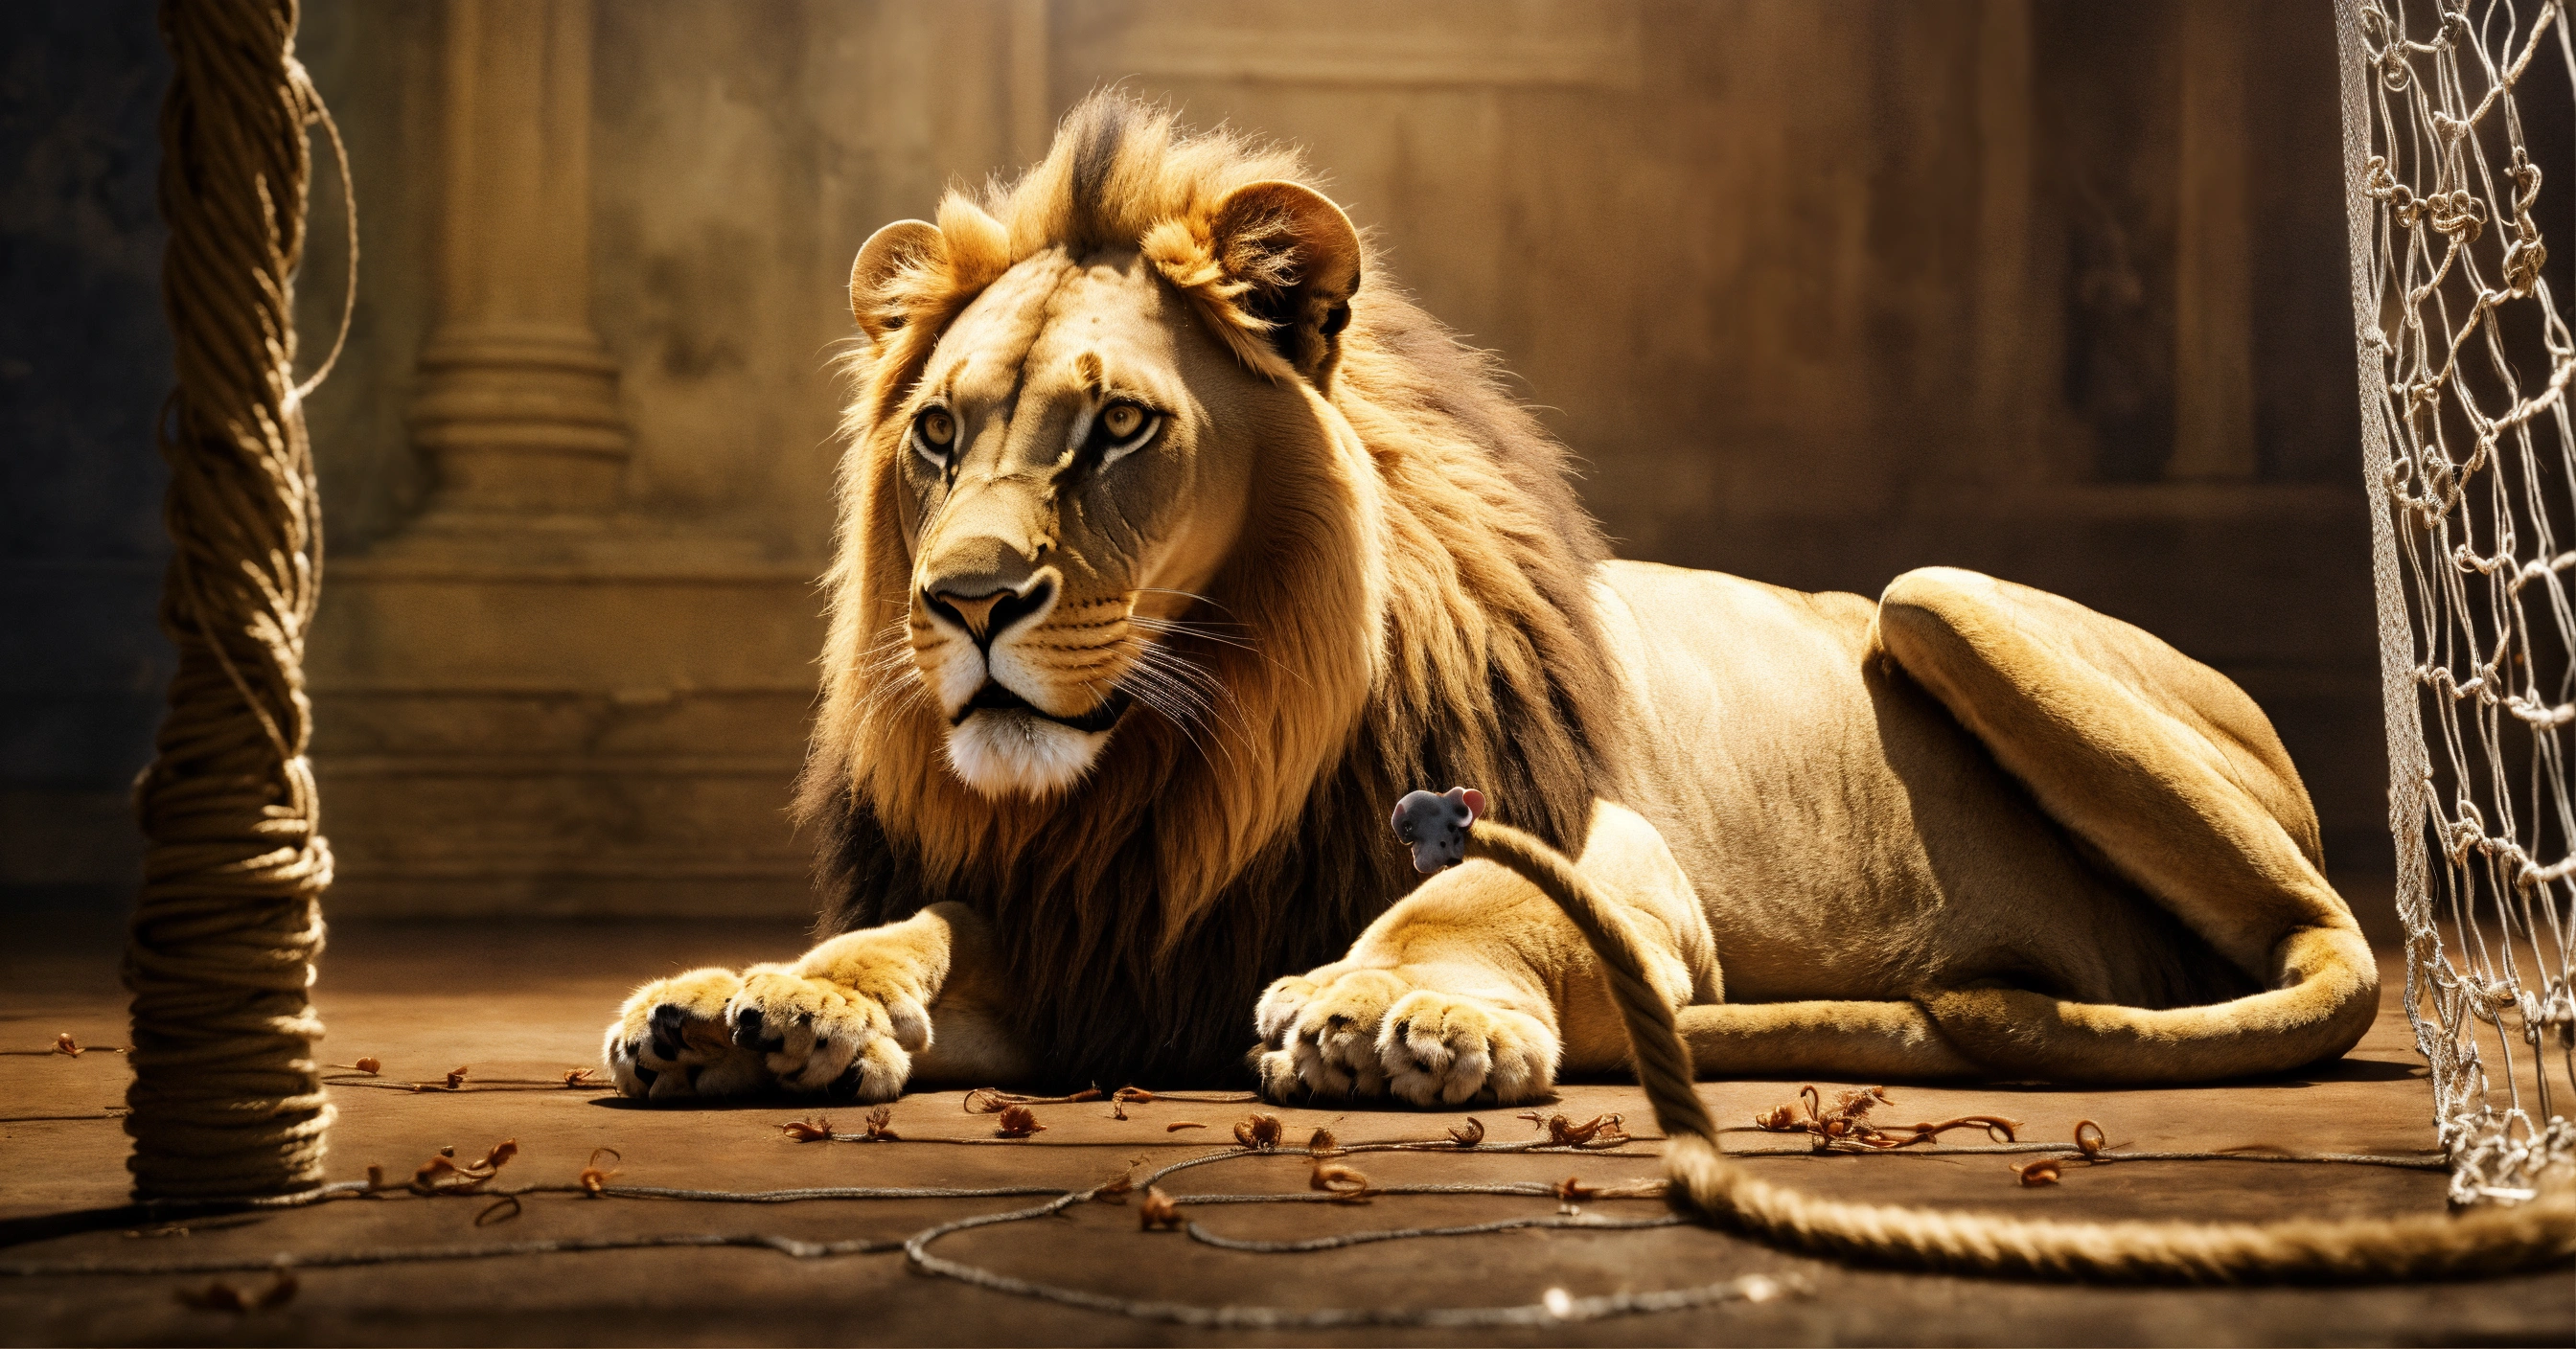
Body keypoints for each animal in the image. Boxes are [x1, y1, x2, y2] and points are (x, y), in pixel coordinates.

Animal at [602, 93, 2377, 1105]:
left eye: (1117, 428)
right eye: (937, 433)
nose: (964, 600)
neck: (1190, 767)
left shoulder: (1622, 866)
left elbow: (1464, 898)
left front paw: (1380, 1007)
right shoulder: (1091, 931)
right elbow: (914, 924)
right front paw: (757, 1002)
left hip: (1935, 595)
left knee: (2327, 943)